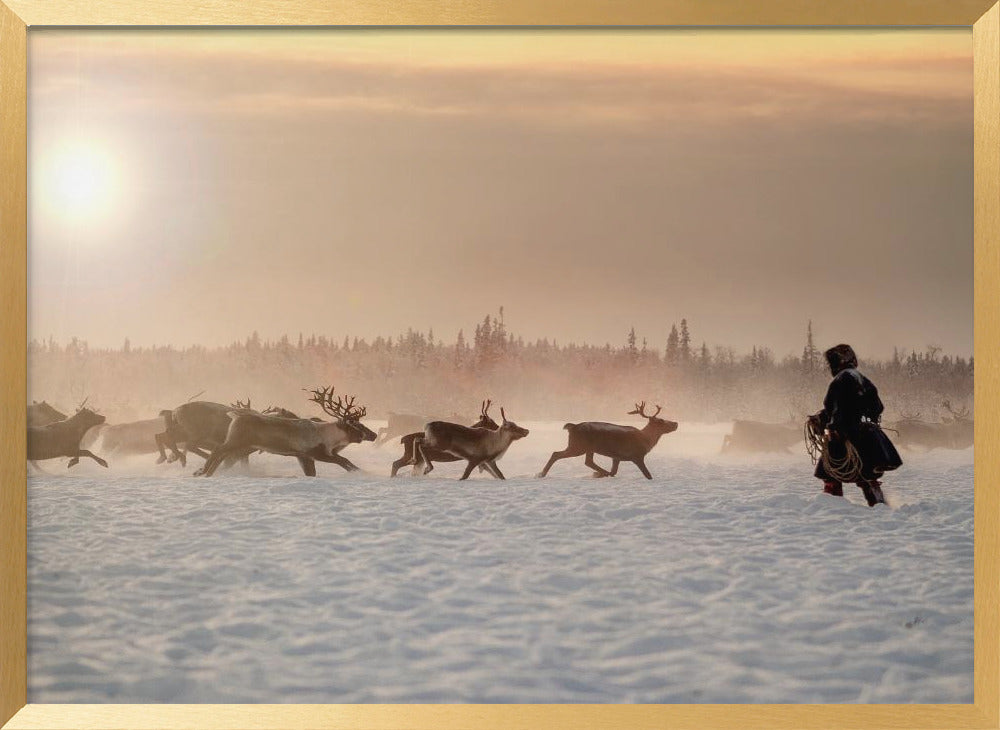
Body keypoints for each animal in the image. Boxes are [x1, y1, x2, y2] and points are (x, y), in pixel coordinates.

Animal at [197, 387, 375, 477]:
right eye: (355, 425)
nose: (374, 435)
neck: (329, 436)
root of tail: (235, 415)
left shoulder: (305, 456)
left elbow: (340, 463)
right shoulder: (315, 452)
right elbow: (343, 461)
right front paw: (363, 473)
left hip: (237, 442)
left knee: (221, 454)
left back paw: (203, 472)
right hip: (237, 440)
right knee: (218, 450)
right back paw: (204, 472)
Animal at [538, 402, 678, 479]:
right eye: (661, 421)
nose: (676, 423)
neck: (646, 440)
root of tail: (572, 427)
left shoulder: (616, 457)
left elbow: (614, 470)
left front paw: (599, 474)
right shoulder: (637, 456)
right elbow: (648, 475)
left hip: (587, 448)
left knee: (588, 461)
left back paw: (600, 473)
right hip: (578, 446)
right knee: (556, 454)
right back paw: (541, 474)